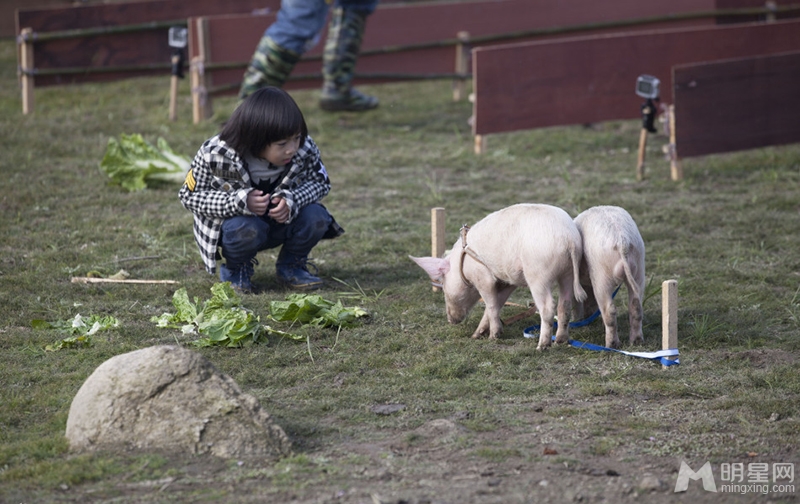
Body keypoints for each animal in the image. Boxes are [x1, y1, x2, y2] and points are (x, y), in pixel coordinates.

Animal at [411, 203, 587, 350]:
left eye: (443, 286)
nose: (451, 321)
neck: (462, 261)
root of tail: (569, 239)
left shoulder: (483, 276)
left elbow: (491, 304)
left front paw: (493, 337)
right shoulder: (508, 281)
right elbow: (497, 303)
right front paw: (475, 335)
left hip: (538, 274)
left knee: (548, 306)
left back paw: (542, 346)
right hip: (568, 272)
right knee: (565, 304)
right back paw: (561, 341)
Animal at [573, 205, 646, 349]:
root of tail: (622, 242)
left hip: (601, 274)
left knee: (609, 309)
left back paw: (611, 345)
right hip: (639, 267)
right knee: (636, 306)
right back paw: (636, 342)